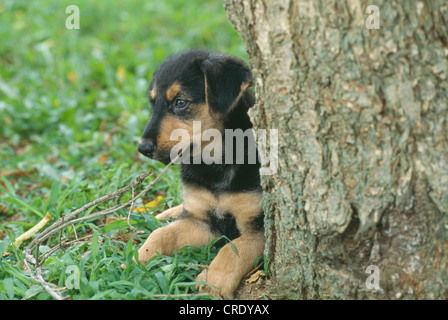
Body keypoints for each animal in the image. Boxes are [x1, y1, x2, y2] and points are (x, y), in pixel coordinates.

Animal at [136, 48, 262, 298]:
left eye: (180, 102)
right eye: (153, 103)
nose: (142, 148)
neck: (215, 163)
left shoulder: (258, 227)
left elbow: (232, 250)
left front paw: (212, 283)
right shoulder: (201, 222)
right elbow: (161, 235)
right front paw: (137, 259)